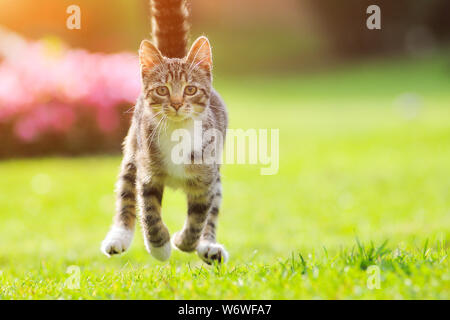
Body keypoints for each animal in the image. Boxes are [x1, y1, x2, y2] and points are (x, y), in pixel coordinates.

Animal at [101, 0, 229, 264]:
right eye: (162, 90)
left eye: (190, 89)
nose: (177, 103)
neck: (177, 132)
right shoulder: (148, 173)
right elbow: (149, 212)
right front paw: (160, 247)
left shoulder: (206, 179)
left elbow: (199, 217)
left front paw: (184, 241)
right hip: (133, 149)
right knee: (126, 193)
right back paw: (119, 237)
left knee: (212, 211)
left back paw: (209, 246)